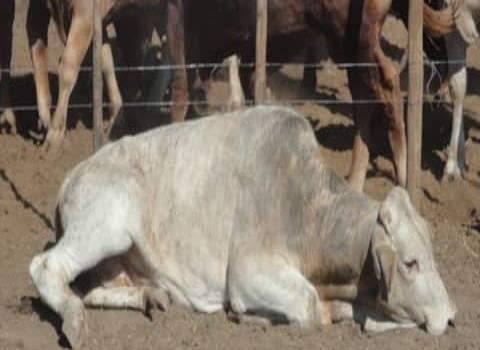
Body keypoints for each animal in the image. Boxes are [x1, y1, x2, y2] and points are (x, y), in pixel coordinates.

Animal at [29, 106, 454, 348]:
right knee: (46, 268)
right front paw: (248, 316)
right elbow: (306, 307)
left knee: (92, 290)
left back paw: (152, 297)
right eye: (411, 263)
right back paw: (75, 321)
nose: (450, 318)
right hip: (108, 225)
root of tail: (72, 175)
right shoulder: (248, 272)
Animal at [168, 0, 454, 191]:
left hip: (354, 36)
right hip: (348, 42)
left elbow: (180, 88)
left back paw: (404, 174)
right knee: (365, 98)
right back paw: (356, 179)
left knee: (387, 84)